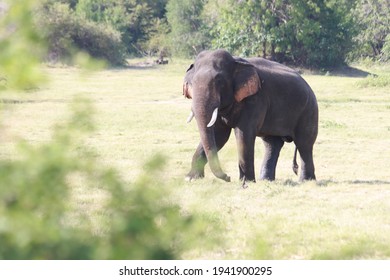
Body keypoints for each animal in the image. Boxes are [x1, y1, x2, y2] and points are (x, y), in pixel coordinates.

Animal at [183, 49, 316, 185]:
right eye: (191, 83)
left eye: (219, 82)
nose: (228, 177)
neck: (235, 61)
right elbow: (219, 135)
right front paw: (190, 178)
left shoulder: (255, 99)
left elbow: (243, 135)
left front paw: (246, 183)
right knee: (272, 144)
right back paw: (266, 180)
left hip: (309, 110)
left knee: (304, 144)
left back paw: (306, 181)